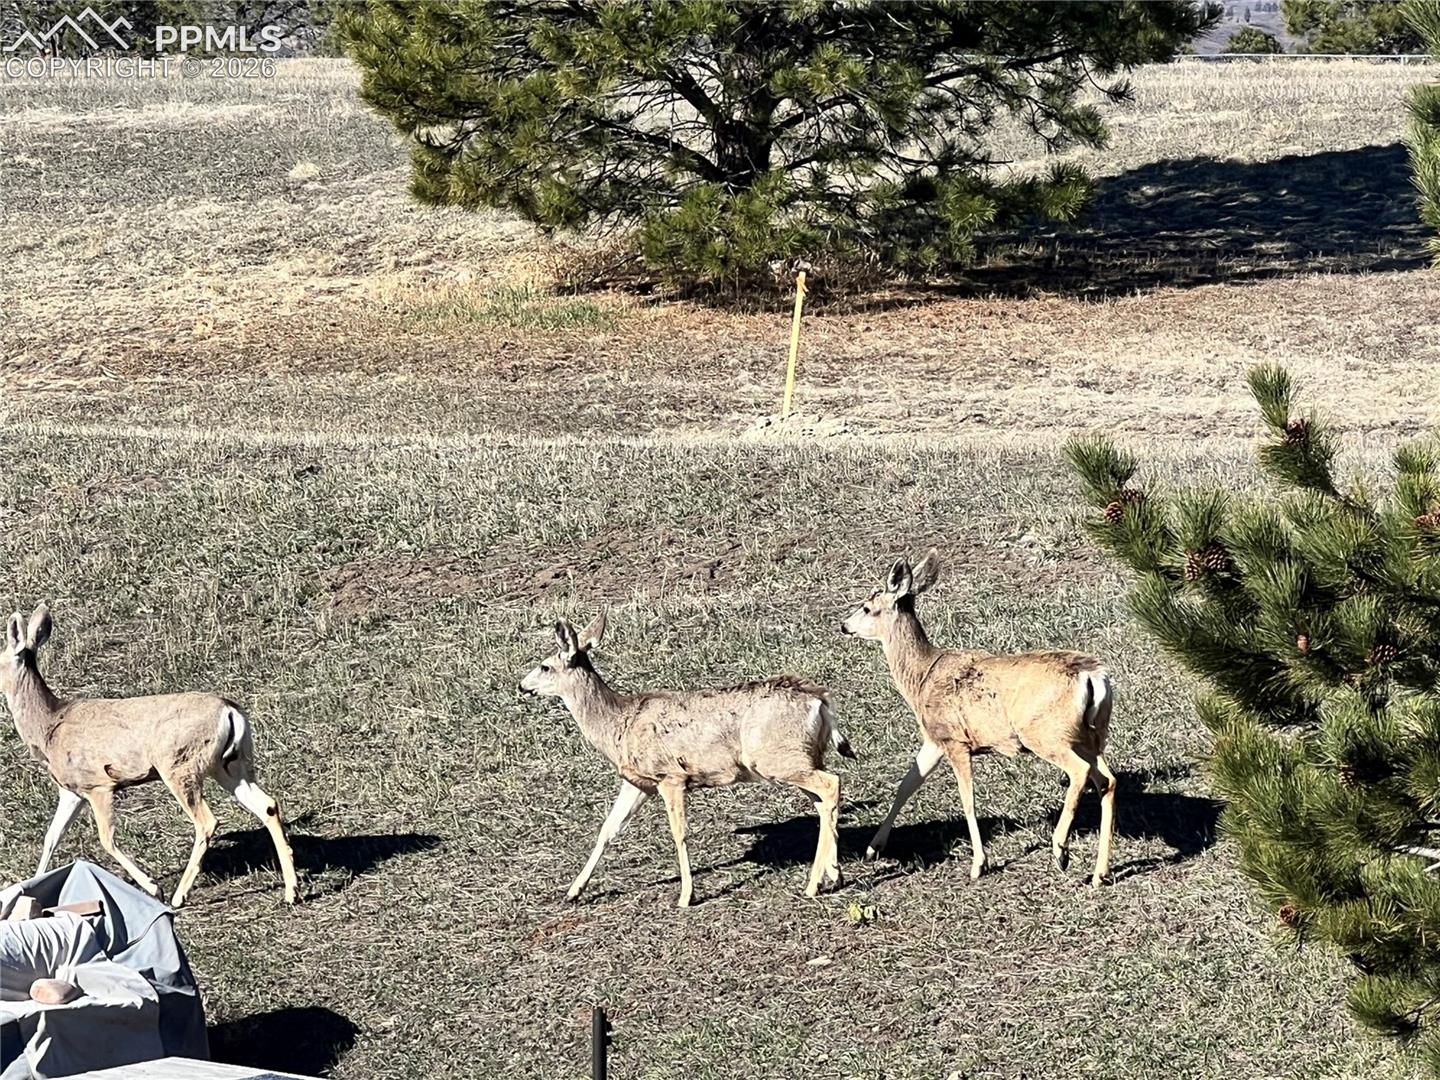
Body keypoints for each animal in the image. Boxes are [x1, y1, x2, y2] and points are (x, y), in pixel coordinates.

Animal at [1, 604, 298, 908]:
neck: (49, 726)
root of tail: (230, 711)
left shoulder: (99, 784)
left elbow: (106, 838)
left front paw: (154, 887)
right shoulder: (72, 790)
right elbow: (52, 836)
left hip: (179, 766)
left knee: (206, 821)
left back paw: (179, 896)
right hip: (230, 766)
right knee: (267, 805)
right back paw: (291, 891)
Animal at [518, 612, 856, 907]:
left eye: (545, 666)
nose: (522, 686)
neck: (618, 725)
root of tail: (819, 701)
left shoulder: (671, 777)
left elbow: (679, 833)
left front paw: (685, 896)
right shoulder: (638, 782)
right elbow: (608, 829)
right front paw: (573, 891)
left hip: (780, 759)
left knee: (831, 785)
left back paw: (813, 884)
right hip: (802, 757)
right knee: (822, 801)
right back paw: (833, 874)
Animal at [841, 550, 1117, 887]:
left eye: (867, 607)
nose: (844, 625)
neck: (921, 678)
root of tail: (1093, 676)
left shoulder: (955, 740)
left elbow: (967, 799)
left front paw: (978, 864)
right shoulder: (934, 738)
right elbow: (907, 784)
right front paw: (873, 848)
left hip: (1046, 733)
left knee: (1080, 772)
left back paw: (1060, 850)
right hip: (1093, 736)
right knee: (1108, 781)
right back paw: (1100, 872)